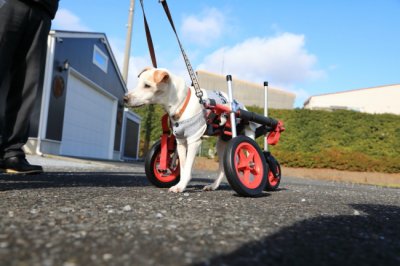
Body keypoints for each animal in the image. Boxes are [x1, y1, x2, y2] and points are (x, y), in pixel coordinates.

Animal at [125, 67, 256, 193]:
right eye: (138, 83)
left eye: (147, 85)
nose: (125, 98)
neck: (182, 103)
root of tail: (241, 107)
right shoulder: (181, 141)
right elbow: (183, 167)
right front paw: (180, 184)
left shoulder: (194, 140)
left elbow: (187, 167)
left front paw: (180, 186)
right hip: (221, 144)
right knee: (222, 168)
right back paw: (213, 186)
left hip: (245, 136)